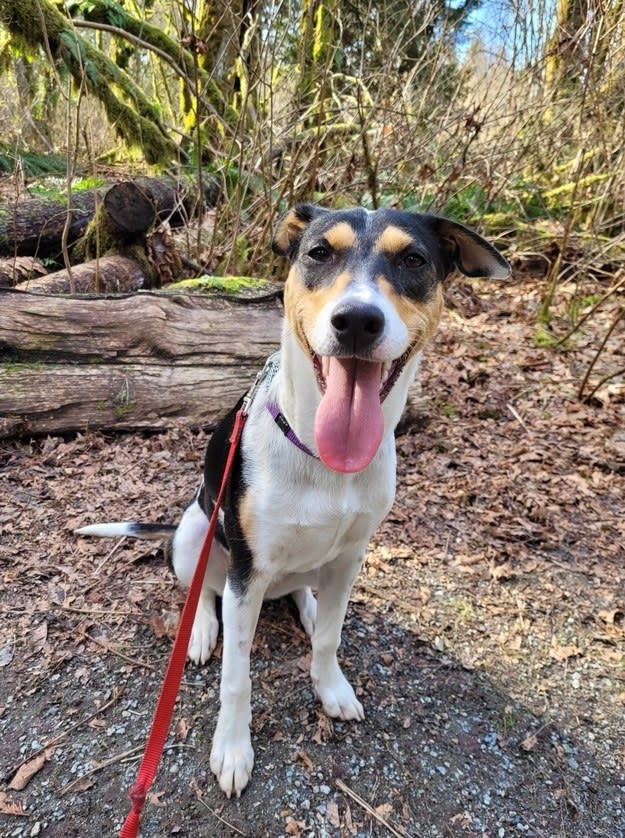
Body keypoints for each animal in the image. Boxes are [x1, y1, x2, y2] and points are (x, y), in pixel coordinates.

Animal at [75, 207, 510, 796]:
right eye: (319, 253)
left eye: (414, 260)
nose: (357, 321)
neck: (325, 459)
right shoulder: (247, 571)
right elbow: (236, 676)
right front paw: (233, 748)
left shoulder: (351, 557)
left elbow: (329, 638)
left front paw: (331, 686)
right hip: (195, 529)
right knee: (202, 588)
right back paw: (202, 629)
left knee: (305, 593)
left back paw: (306, 606)